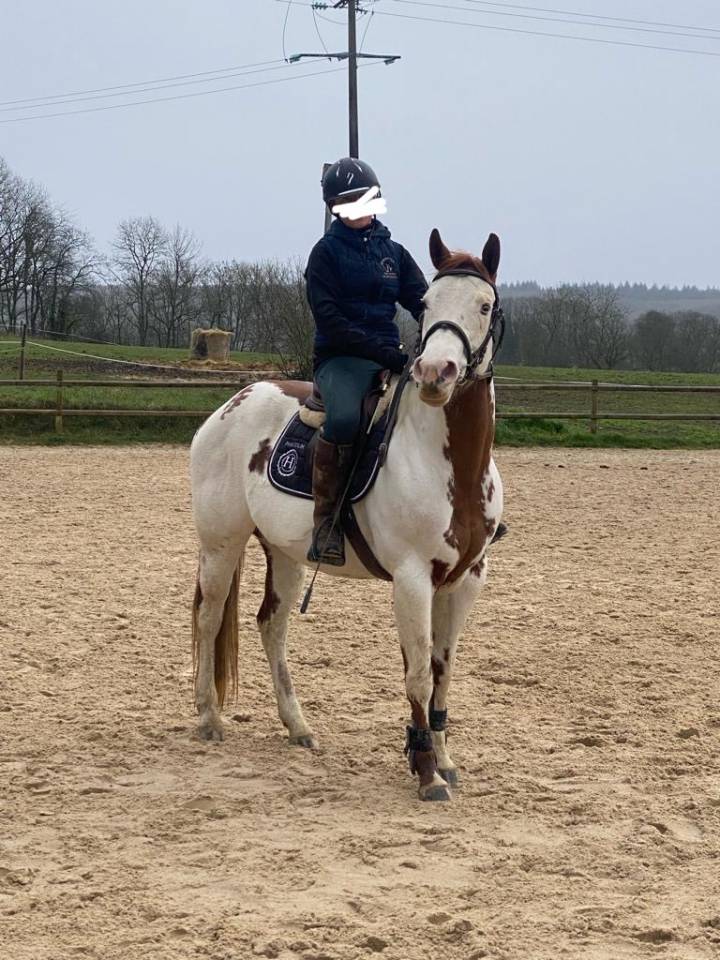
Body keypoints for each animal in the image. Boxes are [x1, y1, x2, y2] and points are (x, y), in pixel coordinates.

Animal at [190, 228, 504, 802]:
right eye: (426, 304)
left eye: (484, 305)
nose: (435, 373)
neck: (450, 463)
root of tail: (235, 401)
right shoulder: (412, 579)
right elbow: (418, 674)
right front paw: (426, 772)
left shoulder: (465, 580)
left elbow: (443, 672)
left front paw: (443, 760)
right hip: (221, 546)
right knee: (209, 616)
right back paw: (208, 718)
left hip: (285, 554)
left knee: (272, 625)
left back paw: (298, 726)